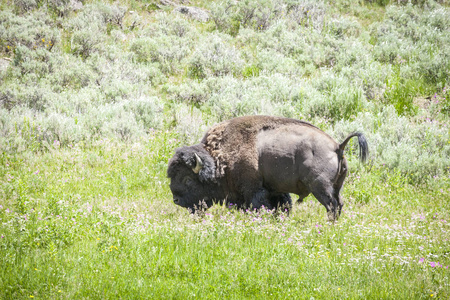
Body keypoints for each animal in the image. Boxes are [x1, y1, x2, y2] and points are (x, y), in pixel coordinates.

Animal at [167, 115, 368, 220]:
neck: (219, 157)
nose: (175, 200)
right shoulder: (275, 190)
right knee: (339, 204)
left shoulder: (253, 190)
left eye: (187, 179)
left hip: (321, 188)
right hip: (336, 187)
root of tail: (337, 146)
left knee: (331, 205)